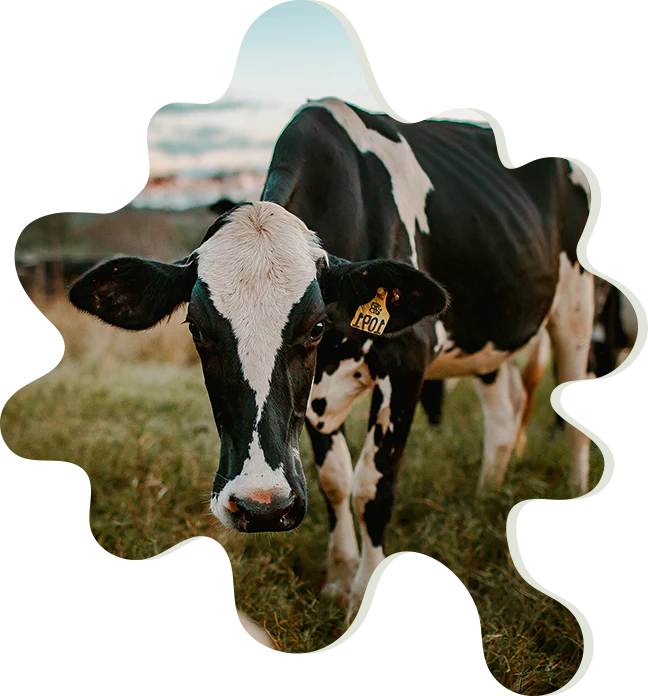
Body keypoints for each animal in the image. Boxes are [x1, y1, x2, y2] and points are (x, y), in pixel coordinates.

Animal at [68, 98, 594, 613]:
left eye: (317, 326)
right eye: (196, 329)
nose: (261, 506)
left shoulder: (408, 360)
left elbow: (373, 489)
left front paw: (367, 596)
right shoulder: (315, 396)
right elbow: (336, 481)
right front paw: (340, 579)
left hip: (577, 310)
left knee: (575, 409)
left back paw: (577, 497)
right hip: (489, 340)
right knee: (503, 417)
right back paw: (487, 494)